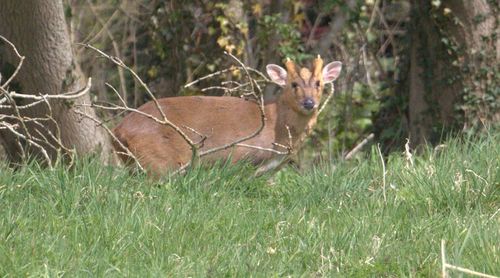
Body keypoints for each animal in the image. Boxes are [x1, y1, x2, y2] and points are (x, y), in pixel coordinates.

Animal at [112, 57, 342, 176]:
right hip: (158, 160)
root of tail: (117, 130)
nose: (309, 103)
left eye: (319, 83)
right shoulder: (240, 157)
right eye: (293, 84)